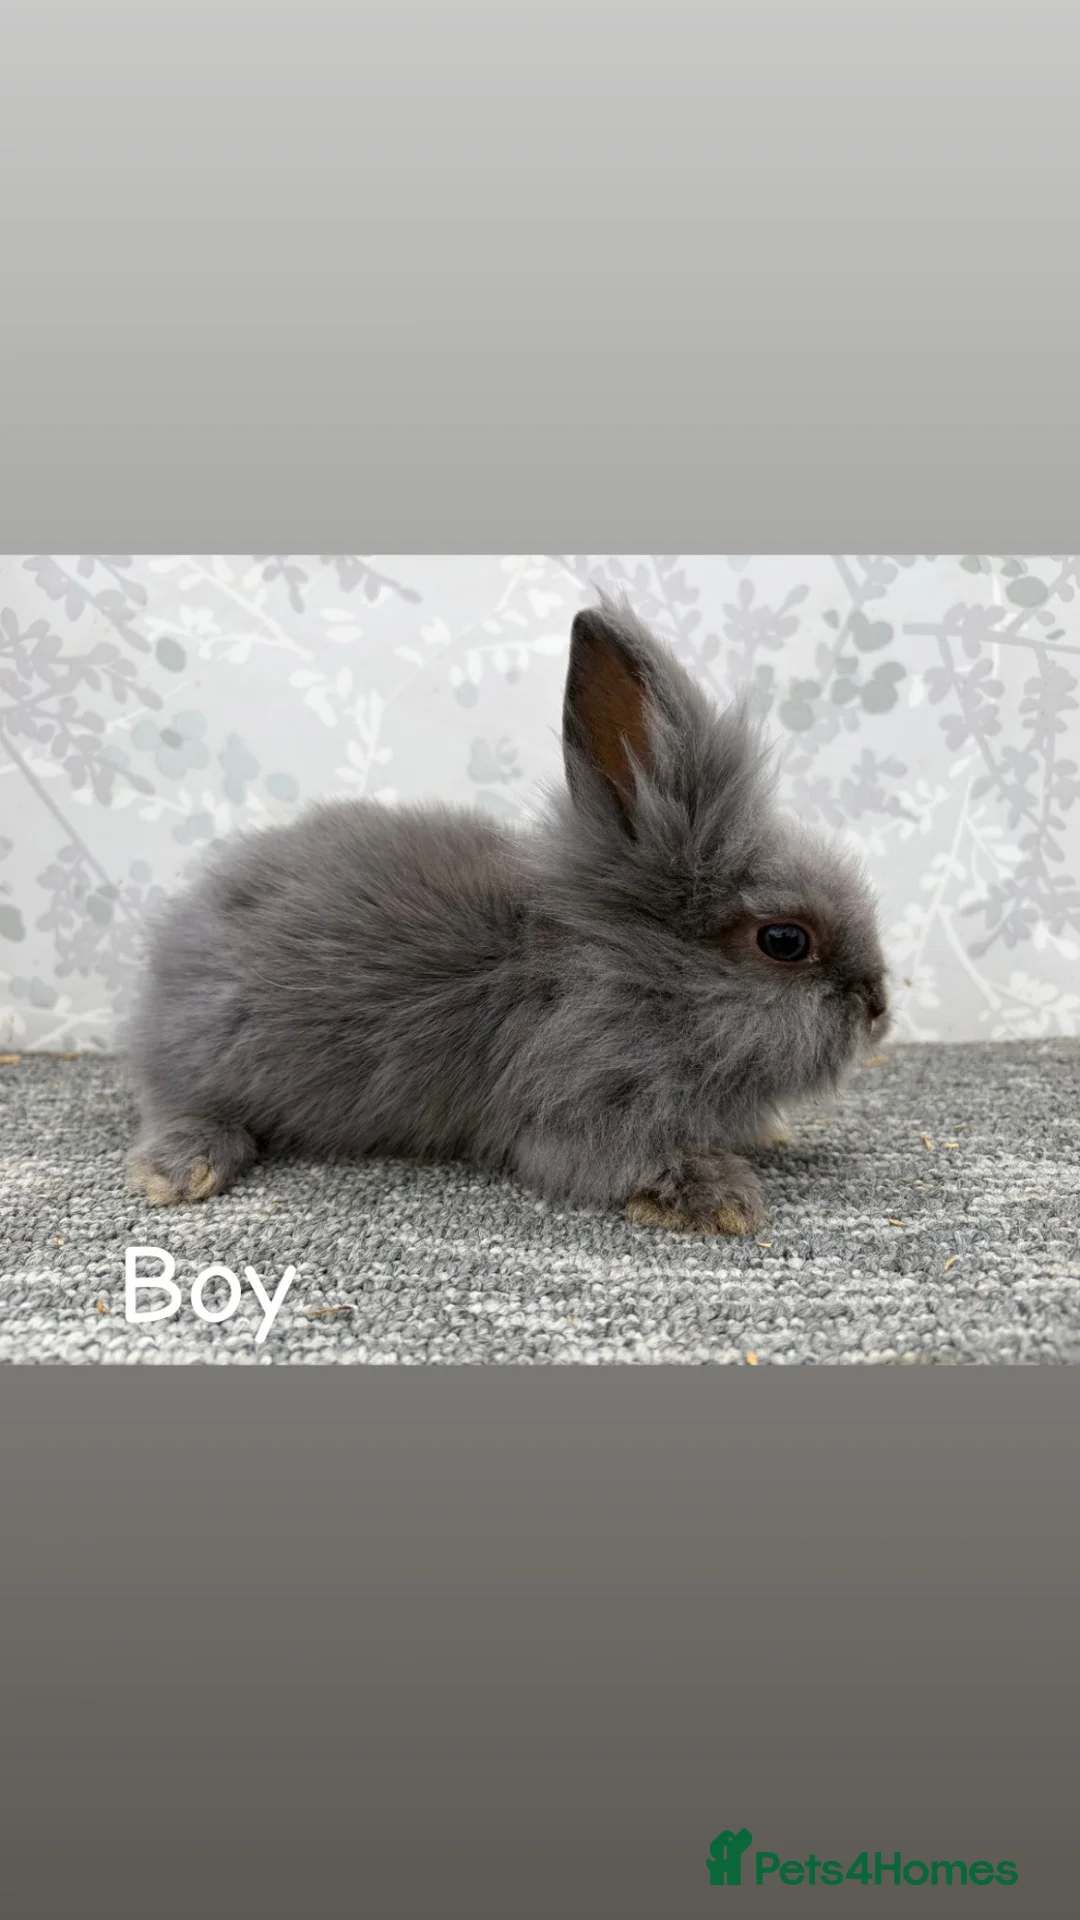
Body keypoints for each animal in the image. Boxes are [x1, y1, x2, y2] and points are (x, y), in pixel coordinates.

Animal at [125, 592, 890, 1233]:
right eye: (784, 940)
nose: (879, 1008)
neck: (623, 975)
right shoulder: (578, 1111)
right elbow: (630, 1160)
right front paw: (725, 1199)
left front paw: (769, 1134)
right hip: (216, 1052)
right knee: (179, 1105)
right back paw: (180, 1171)